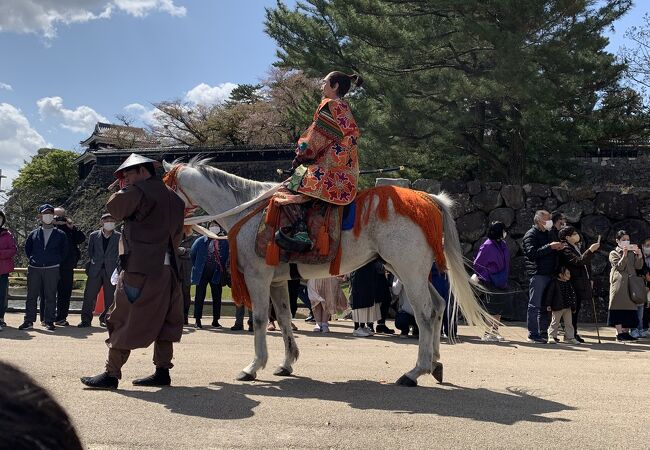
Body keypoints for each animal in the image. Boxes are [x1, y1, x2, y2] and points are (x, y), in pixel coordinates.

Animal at [163, 159, 492, 386]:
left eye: (164, 186)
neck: (246, 210)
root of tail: (428, 199)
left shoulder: (258, 277)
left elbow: (259, 320)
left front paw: (253, 366)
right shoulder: (278, 281)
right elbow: (284, 318)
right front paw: (287, 362)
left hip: (408, 270)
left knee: (424, 314)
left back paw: (414, 372)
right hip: (413, 271)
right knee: (438, 307)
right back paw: (435, 365)